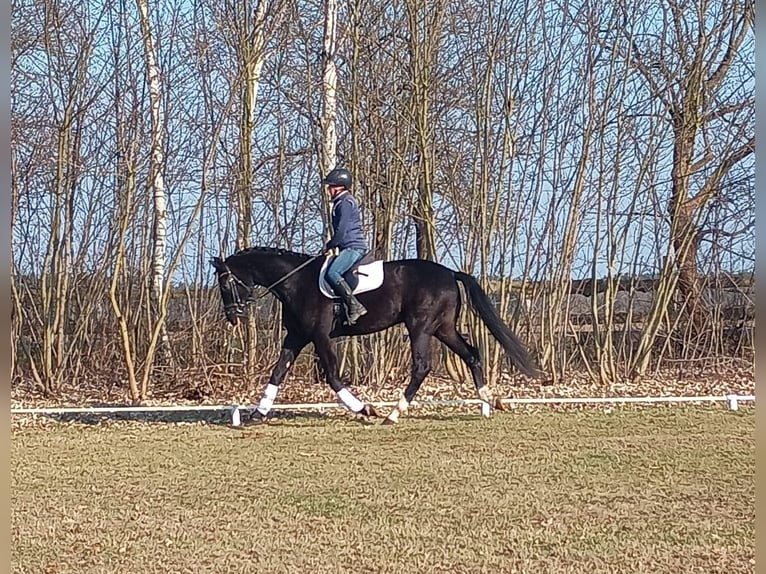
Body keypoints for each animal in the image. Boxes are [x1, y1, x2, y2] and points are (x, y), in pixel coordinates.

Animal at [211, 246, 540, 425]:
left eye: (226, 284)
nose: (232, 317)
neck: (296, 281)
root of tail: (449, 272)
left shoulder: (320, 336)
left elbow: (332, 376)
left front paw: (364, 408)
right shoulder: (296, 336)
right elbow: (278, 372)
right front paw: (258, 413)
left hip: (420, 327)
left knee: (422, 366)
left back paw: (392, 414)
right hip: (443, 328)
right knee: (472, 354)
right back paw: (487, 402)